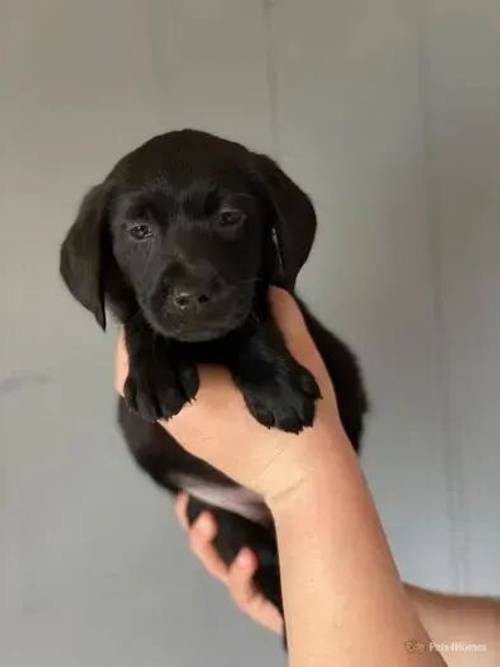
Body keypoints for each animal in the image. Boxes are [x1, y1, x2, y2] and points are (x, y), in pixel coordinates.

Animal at [60, 129, 370, 636]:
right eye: (138, 231)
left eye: (229, 218)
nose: (192, 296)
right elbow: (142, 321)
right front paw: (156, 373)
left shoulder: (269, 300)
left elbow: (254, 316)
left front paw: (276, 386)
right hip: (222, 518)